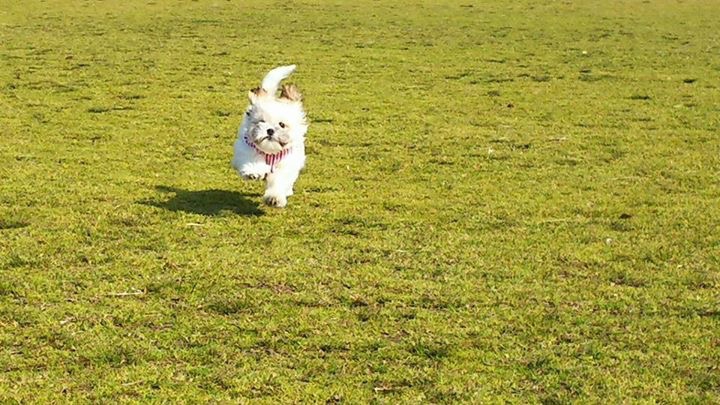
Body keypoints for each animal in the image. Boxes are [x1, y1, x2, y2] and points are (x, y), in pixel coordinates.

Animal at [232, 65, 308, 208]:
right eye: (262, 121)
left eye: (282, 124)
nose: (270, 130)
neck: (271, 152)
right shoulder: (247, 148)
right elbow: (254, 160)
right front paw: (254, 171)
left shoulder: (287, 163)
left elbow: (279, 181)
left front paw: (274, 198)